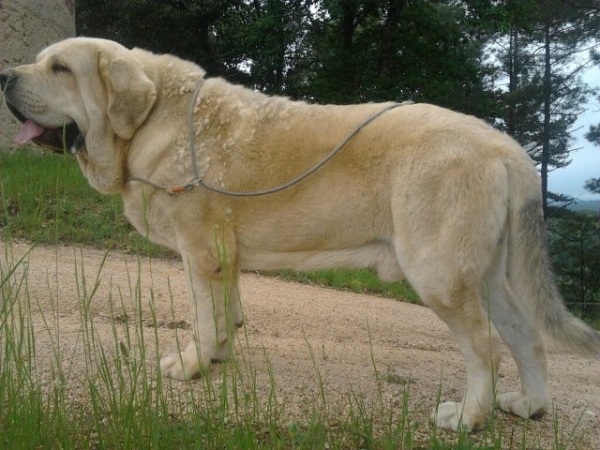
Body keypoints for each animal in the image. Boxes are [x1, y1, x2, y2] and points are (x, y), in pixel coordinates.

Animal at [1, 37, 600, 430]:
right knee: (527, 337)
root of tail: (507, 148)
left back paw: (470, 417)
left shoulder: (200, 251)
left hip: (441, 276)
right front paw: (218, 356)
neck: (151, 120)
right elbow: (225, 312)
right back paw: (531, 406)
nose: (5, 76)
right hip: (490, 277)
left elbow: (202, 317)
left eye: (60, 68)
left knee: (487, 348)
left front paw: (192, 365)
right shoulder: (221, 258)